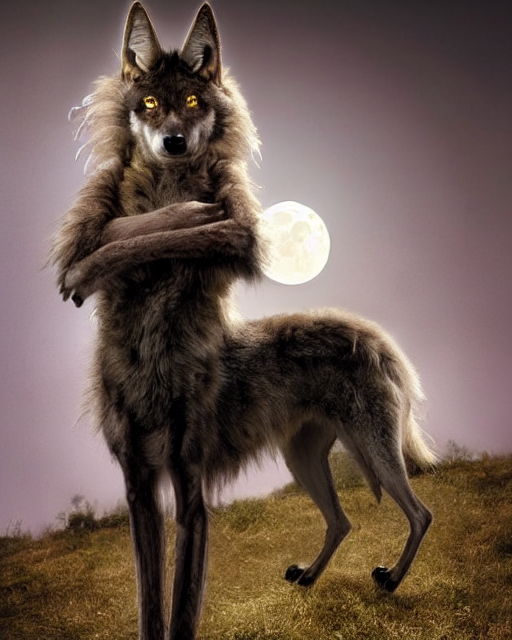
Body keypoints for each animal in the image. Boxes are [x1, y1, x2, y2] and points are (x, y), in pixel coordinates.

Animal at [51, 3, 437, 639]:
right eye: (150, 103)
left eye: (192, 101)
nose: (174, 142)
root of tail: (379, 339)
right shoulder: (138, 492)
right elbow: (150, 608)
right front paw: (92, 263)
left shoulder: (191, 492)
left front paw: (101, 263)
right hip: (304, 460)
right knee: (344, 520)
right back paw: (309, 577)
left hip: (373, 448)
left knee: (421, 512)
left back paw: (390, 579)